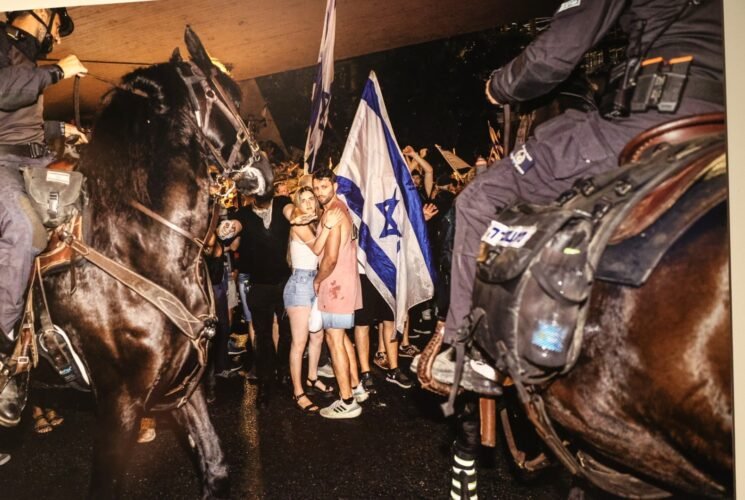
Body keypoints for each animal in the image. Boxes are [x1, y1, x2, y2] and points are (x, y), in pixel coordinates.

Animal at [32, 27, 273, 498]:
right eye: (232, 95)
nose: (267, 171)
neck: (141, 249)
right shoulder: (120, 404)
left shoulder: (182, 382)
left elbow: (215, 467)